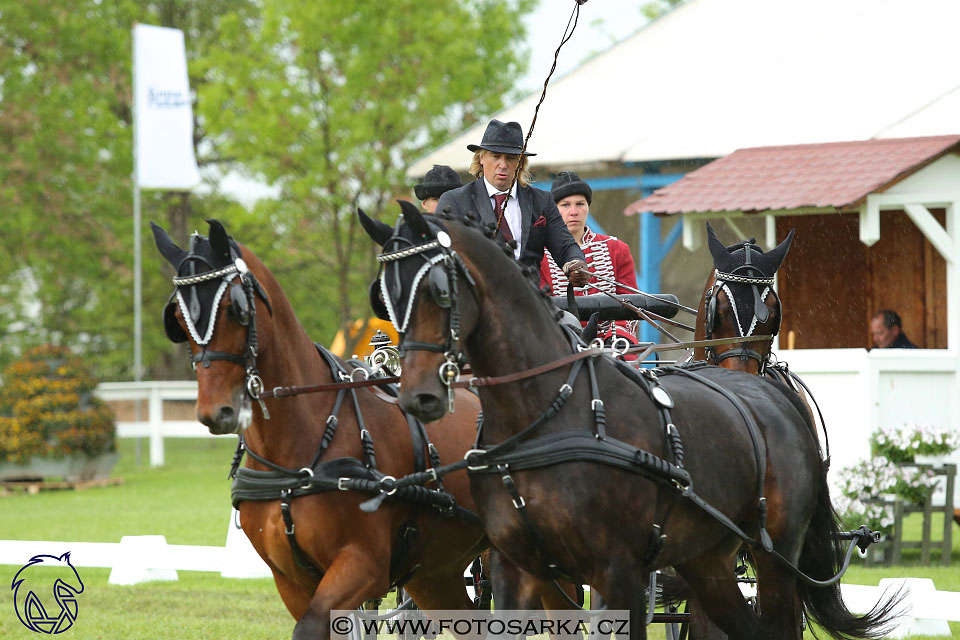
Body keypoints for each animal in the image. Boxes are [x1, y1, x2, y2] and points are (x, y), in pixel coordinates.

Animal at [152, 218, 496, 636]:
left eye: (237, 310)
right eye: (177, 319)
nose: (215, 410)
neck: (297, 447)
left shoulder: (363, 565)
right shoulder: (291, 580)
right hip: (435, 573)